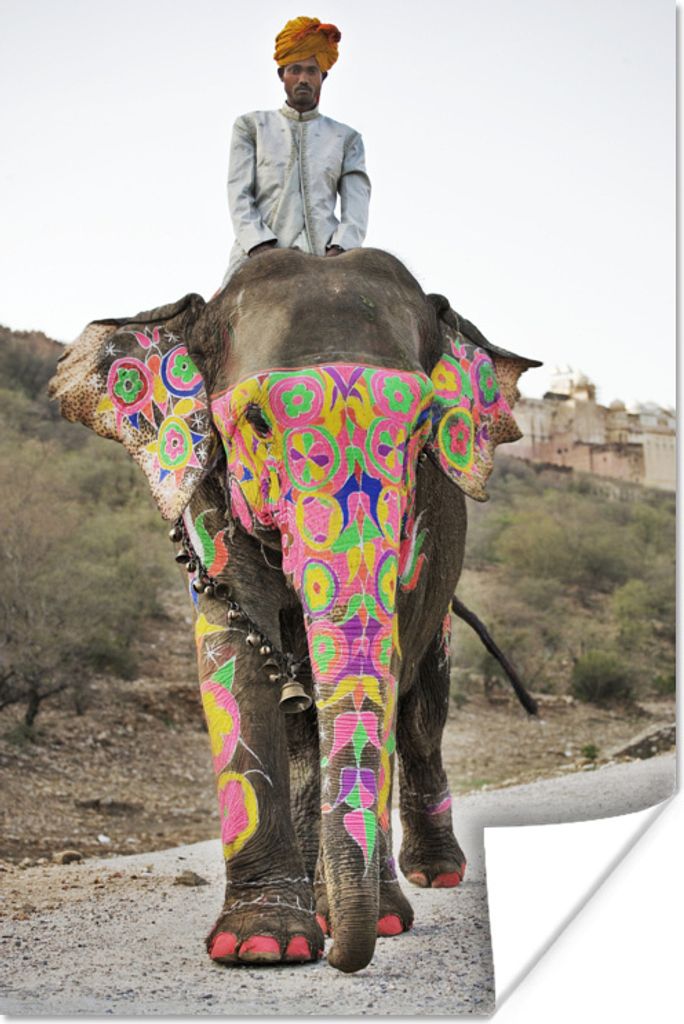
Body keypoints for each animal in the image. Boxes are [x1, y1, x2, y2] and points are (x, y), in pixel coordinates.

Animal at [49, 247, 539, 973]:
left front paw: (372, 921)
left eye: (421, 431)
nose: (342, 955)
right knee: (310, 722)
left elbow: (386, 667)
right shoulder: (209, 500)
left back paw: (431, 876)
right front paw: (262, 946)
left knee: (423, 712)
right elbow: (233, 660)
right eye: (256, 424)